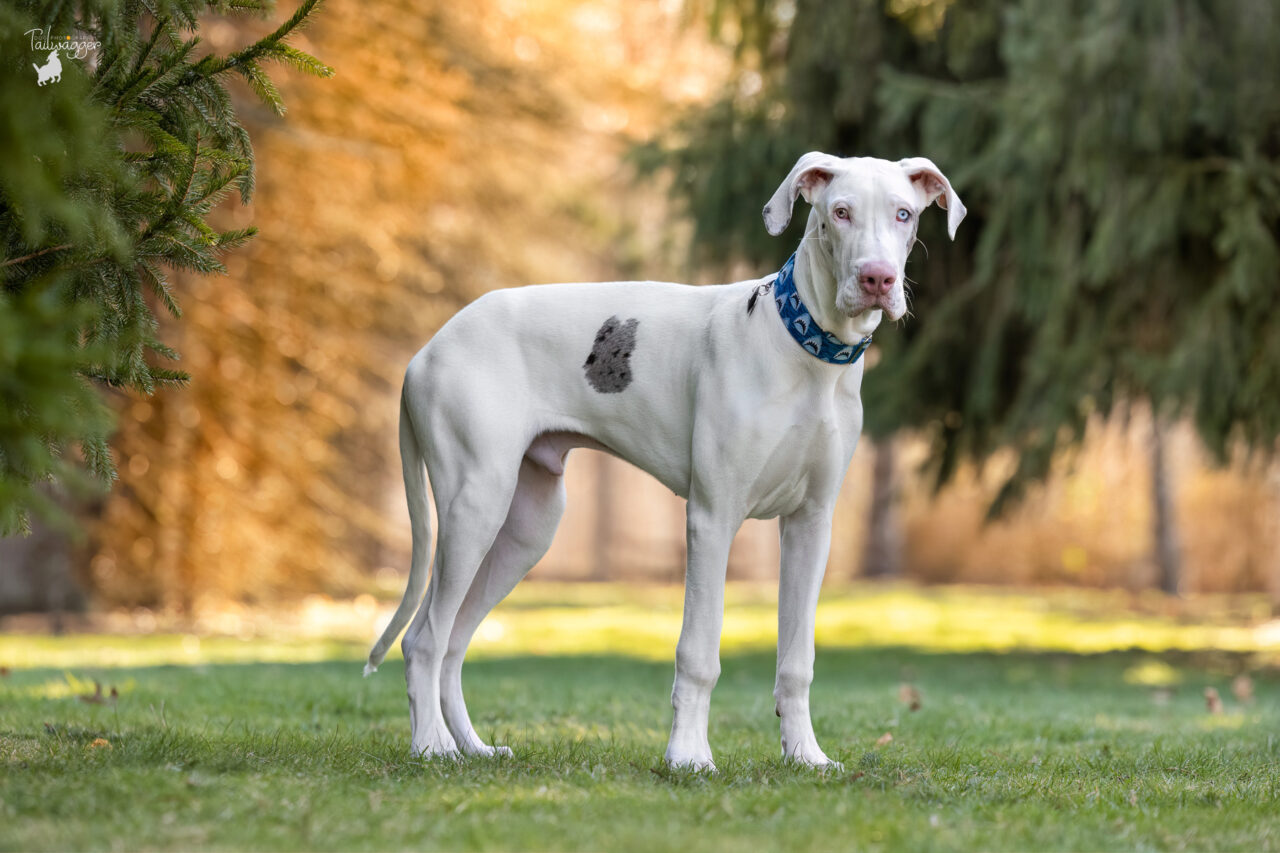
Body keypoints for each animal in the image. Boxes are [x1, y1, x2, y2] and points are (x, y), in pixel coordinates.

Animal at [366, 149, 962, 768]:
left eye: (902, 213)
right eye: (840, 212)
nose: (877, 278)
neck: (804, 352)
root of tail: (426, 351)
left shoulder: (811, 525)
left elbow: (797, 661)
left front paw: (805, 755)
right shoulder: (712, 519)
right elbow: (698, 654)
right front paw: (689, 756)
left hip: (526, 528)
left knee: (454, 641)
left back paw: (472, 747)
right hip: (474, 507)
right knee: (425, 638)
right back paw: (432, 747)